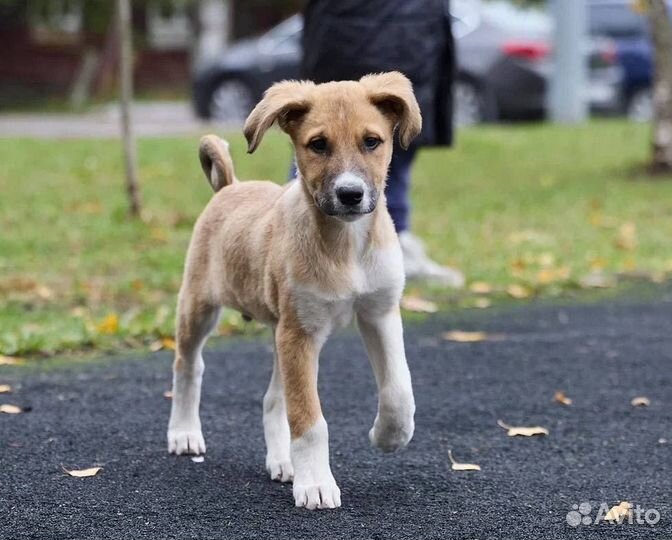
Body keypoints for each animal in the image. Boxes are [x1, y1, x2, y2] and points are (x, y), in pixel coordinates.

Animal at [168, 71, 420, 510]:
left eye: (372, 141)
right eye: (318, 144)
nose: (350, 194)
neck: (347, 247)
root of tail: (229, 187)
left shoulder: (380, 313)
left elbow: (398, 390)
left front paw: (387, 437)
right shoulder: (300, 334)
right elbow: (309, 417)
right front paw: (316, 483)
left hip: (278, 330)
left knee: (273, 399)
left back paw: (283, 462)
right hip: (200, 307)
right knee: (188, 365)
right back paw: (184, 433)